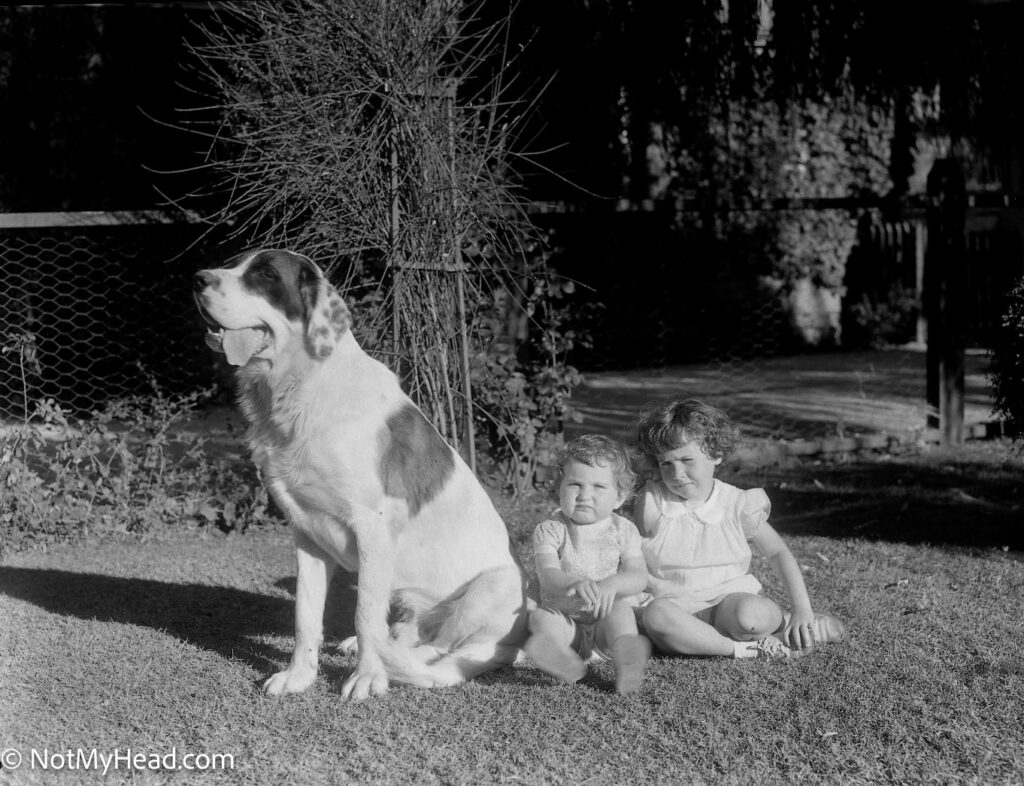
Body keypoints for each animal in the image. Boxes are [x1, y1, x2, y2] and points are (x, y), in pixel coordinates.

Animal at [193, 248, 528, 695]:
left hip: (494, 586)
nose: (198, 279)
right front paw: (299, 676)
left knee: (443, 649)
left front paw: (368, 677)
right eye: (234, 263)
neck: (304, 388)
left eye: (264, 275)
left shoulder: (371, 527)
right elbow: (305, 614)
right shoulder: (306, 535)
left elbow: (365, 611)